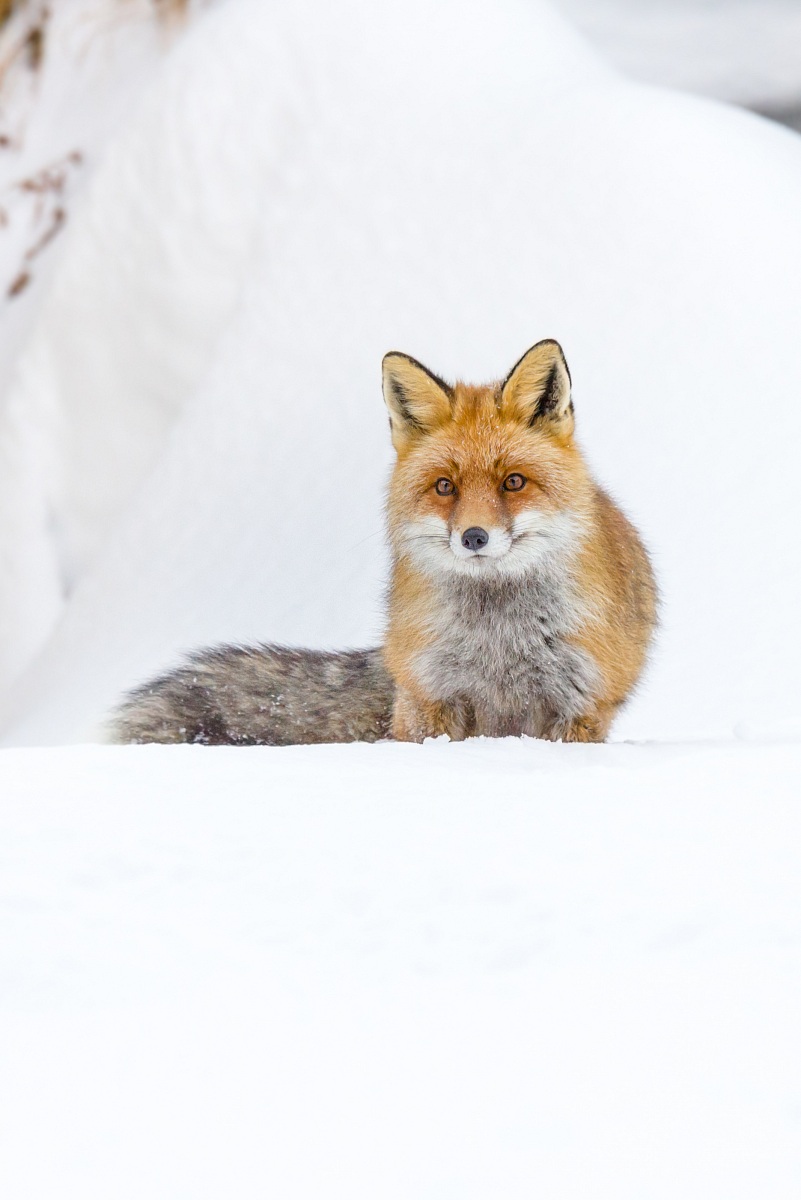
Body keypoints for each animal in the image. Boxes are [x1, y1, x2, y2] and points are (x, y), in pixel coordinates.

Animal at [111, 339, 657, 746]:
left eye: (514, 482)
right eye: (445, 487)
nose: (473, 537)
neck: (499, 639)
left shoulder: (579, 705)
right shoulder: (429, 697)